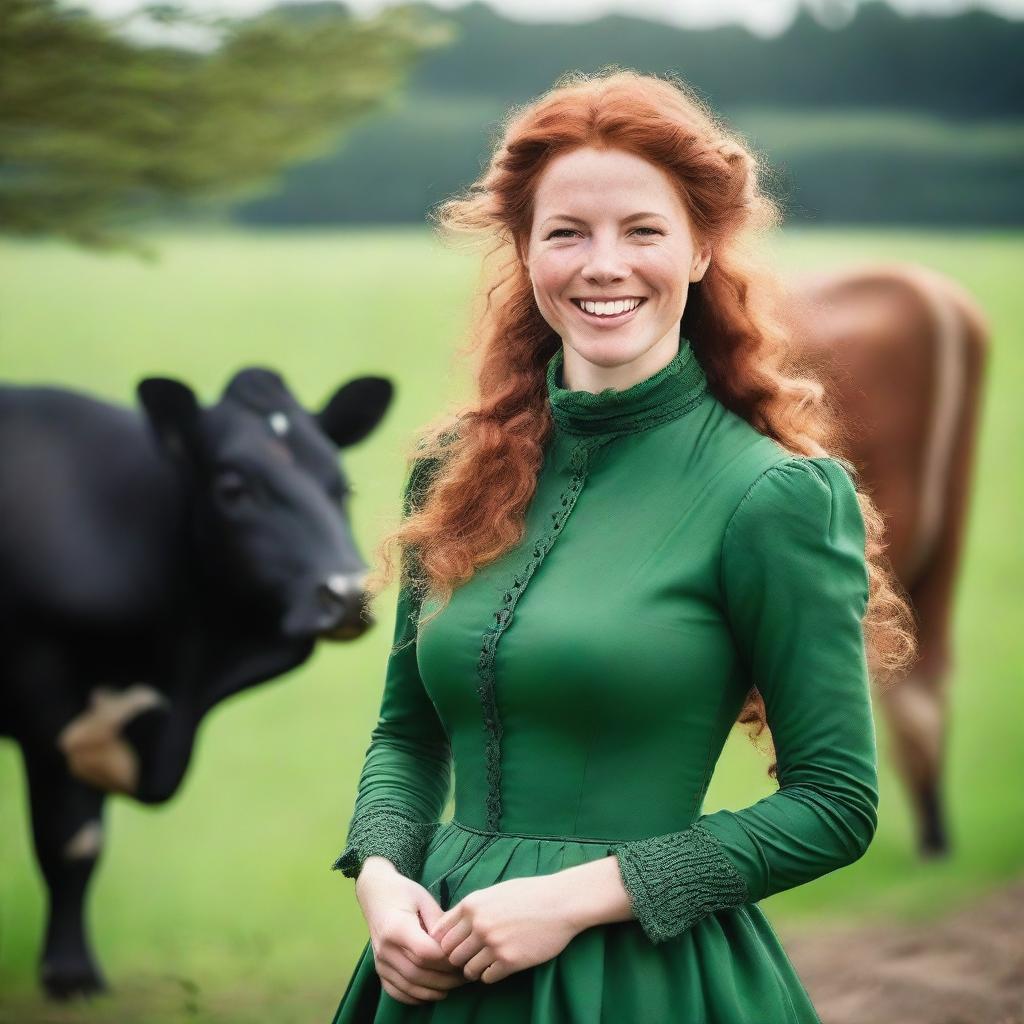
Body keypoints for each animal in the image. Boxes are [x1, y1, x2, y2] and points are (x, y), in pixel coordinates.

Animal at [0, 364, 391, 995]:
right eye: (233, 488)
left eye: (342, 488)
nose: (347, 592)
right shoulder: (47, 700)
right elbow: (72, 843)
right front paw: (70, 974)